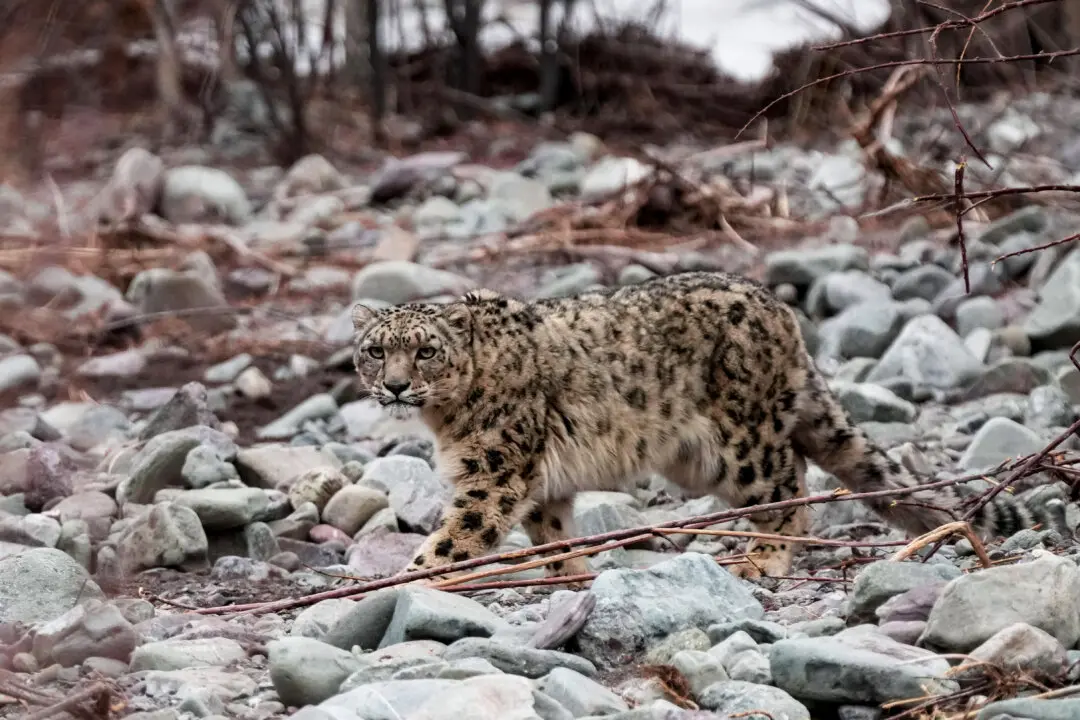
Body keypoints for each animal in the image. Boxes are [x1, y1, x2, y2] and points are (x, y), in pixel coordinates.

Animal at [349, 270, 1067, 582]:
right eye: (376, 350)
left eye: (425, 350)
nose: (394, 384)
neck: (444, 419)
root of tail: (782, 314)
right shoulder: (536, 481)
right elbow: (551, 529)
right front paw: (569, 575)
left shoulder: (494, 472)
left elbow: (457, 536)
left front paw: (397, 583)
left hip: (741, 443)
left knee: (788, 489)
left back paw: (764, 558)